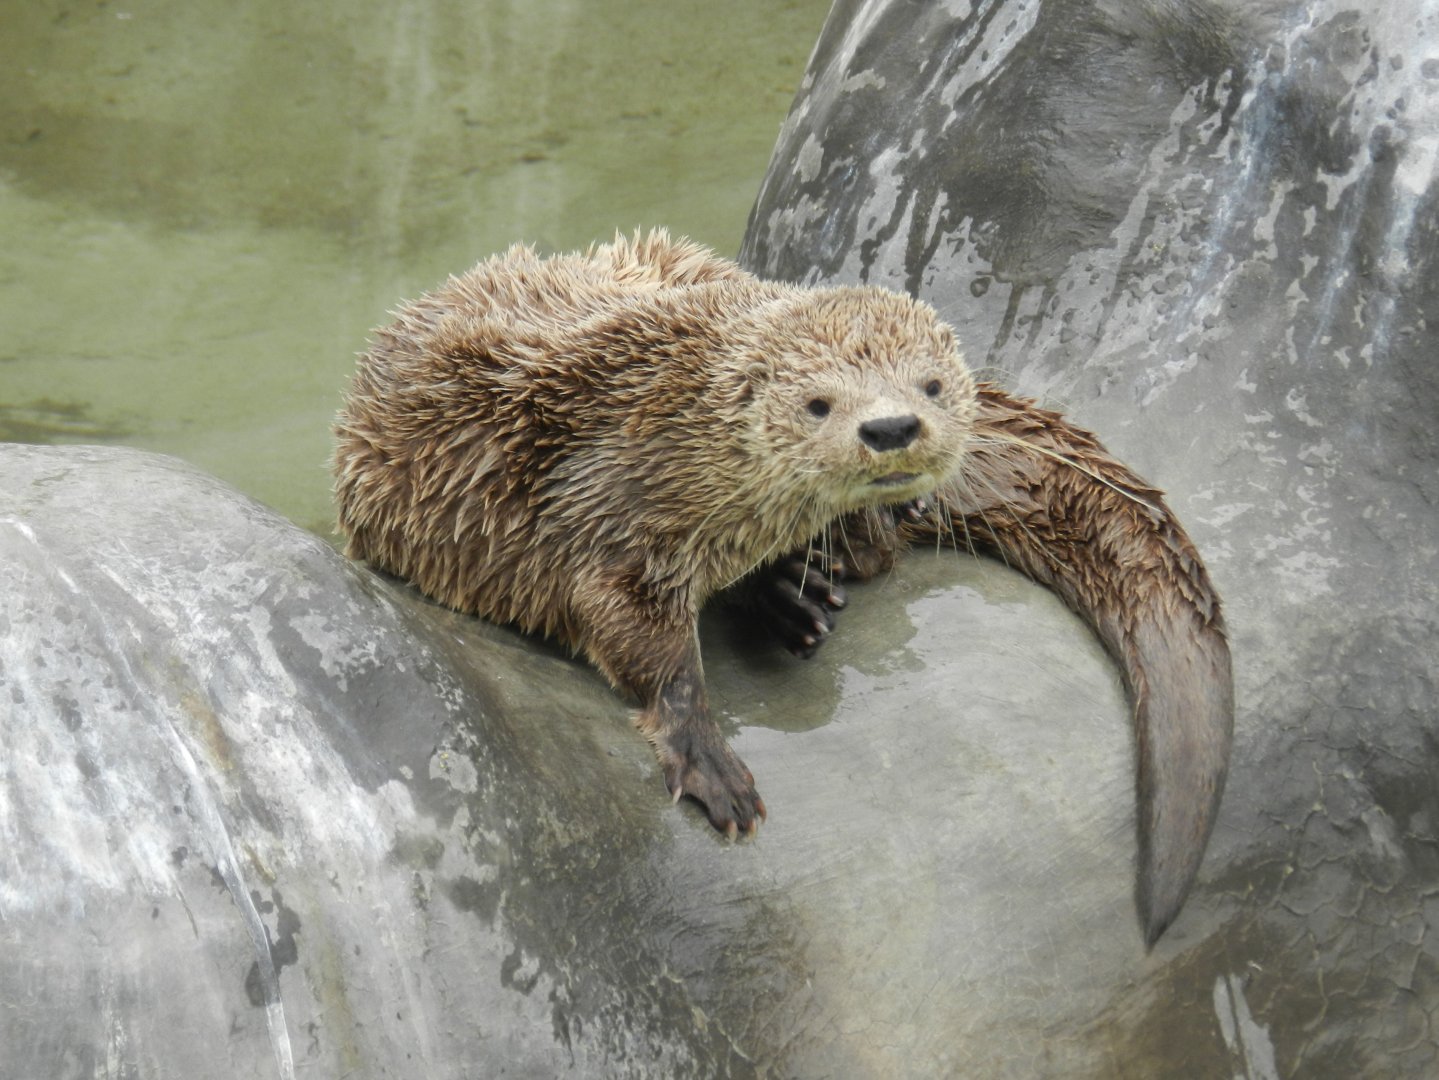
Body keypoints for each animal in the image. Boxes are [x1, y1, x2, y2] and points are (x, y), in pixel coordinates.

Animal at [333, 230, 1231, 946]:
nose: (891, 427)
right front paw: (707, 757)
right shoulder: (601, 509)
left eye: (931, 385)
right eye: (817, 403)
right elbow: (629, 631)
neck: (668, 431)